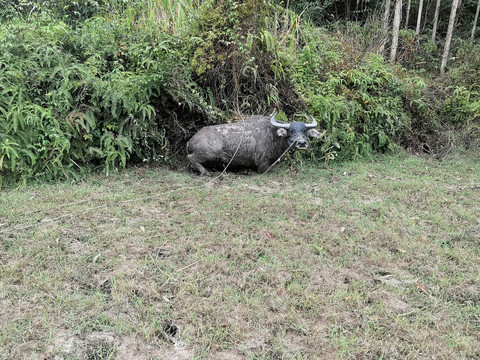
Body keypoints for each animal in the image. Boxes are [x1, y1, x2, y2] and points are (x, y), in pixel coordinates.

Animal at [187, 112, 318, 175]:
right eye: (291, 130)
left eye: (304, 131)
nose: (302, 143)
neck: (273, 135)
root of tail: (190, 141)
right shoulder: (262, 164)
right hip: (211, 152)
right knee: (190, 158)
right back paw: (205, 172)